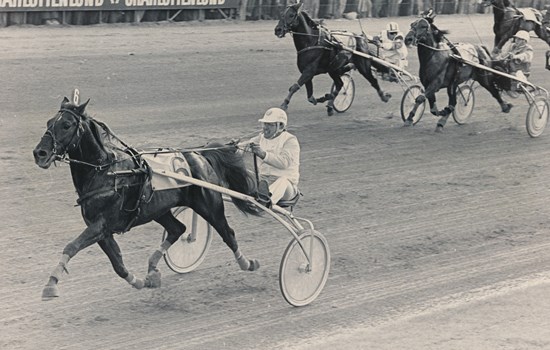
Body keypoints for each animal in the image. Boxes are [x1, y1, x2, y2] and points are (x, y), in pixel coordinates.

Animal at [33, 97, 264, 300]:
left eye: (66, 125)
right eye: (49, 122)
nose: (40, 153)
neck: (107, 172)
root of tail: (199, 155)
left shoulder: (102, 224)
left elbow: (71, 246)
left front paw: (51, 284)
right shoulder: (101, 229)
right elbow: (117, 263)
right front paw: (140, 281)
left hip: (209, 205)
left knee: (227, 232)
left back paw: (247, 263)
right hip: (158, 210)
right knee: (178, 228)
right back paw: (152, 269)